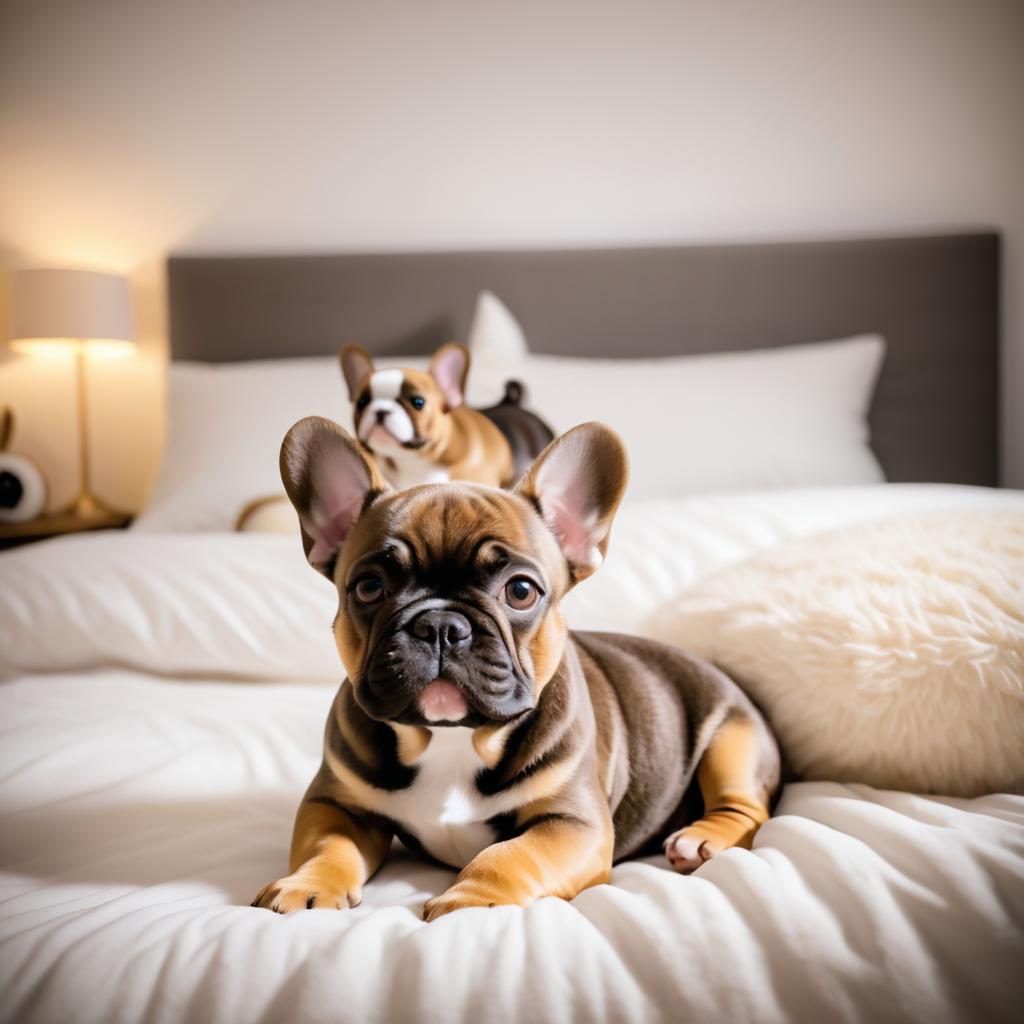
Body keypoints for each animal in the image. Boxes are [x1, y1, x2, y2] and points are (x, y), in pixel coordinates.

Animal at [253, 415, 774, 921]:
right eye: (368, 588)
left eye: (521, 591)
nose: (440, 625)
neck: (453, 737)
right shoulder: (335, 803)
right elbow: (325, 846)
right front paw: (306, 885)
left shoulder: (573, 822)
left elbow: (510, 854)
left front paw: (471, 900)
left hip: (732, 740)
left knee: (746, 806)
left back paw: (702, 839)